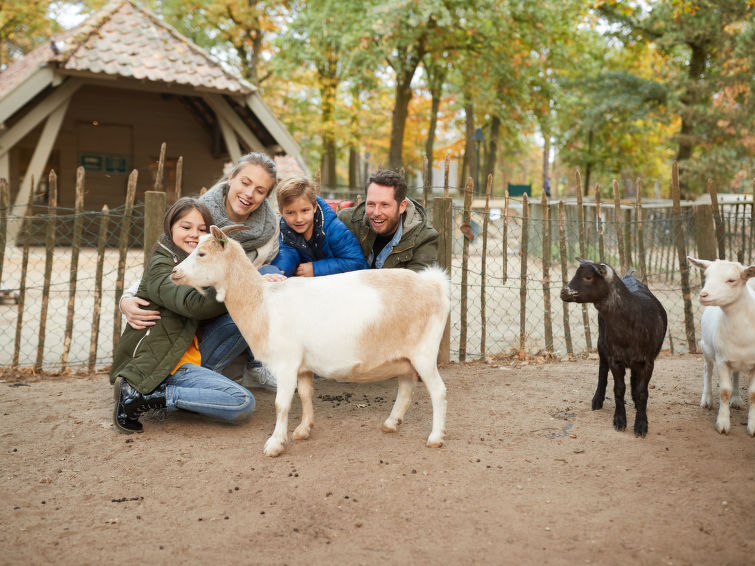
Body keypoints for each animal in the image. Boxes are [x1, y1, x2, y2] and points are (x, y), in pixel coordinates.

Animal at [173, 226, 448, 458]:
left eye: (202, 253)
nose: (175, 273)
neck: (263, 301)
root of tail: (434, 285)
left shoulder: (286, 362)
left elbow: (281, 404)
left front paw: (275, 444)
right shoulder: (303, 366)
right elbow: (305, 395)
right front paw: (303, 430)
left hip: (424, 354)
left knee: (438, 391)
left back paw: (435, 437)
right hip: (403, 356)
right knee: (406, 386)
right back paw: (391, 423)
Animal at [688, 260, 755, 438]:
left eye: (731, 280)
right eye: (706, 276)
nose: (703, 295)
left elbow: (753, 394)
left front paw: (752, 427)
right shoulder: (722, 360)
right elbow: (724, 391)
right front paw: (723, 424)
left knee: (736, 374)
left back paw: (736, 399)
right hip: (706, 347)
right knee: (707, 370)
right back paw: (707, 399)